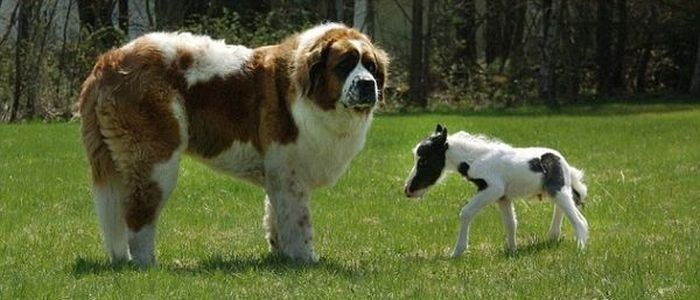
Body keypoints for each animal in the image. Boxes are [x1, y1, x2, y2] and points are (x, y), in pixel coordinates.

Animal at [80, 22, 394, 264]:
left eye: (370, 66)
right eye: (344, 65)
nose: (367, 84)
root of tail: (109, 59)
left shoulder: (278, 175)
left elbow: (276, 216)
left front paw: (281, 257)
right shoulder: (290, 174)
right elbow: (299, 222)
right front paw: (305, 260)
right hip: (156, 161)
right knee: (138, 215)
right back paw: (148, 266)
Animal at [404, 125, 592, 256]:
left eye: (424, 161)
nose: (408, 190)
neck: (476, 159)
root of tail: (564, 162)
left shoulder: (493, 189)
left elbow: (466, 212)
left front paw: (457, 252)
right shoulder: (503, 197)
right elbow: (511, 223)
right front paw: (512, 251)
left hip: (558, 190)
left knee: (579, 220)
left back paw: (580, 250)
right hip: (556, 191)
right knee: (565, 210)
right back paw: (554, 236)